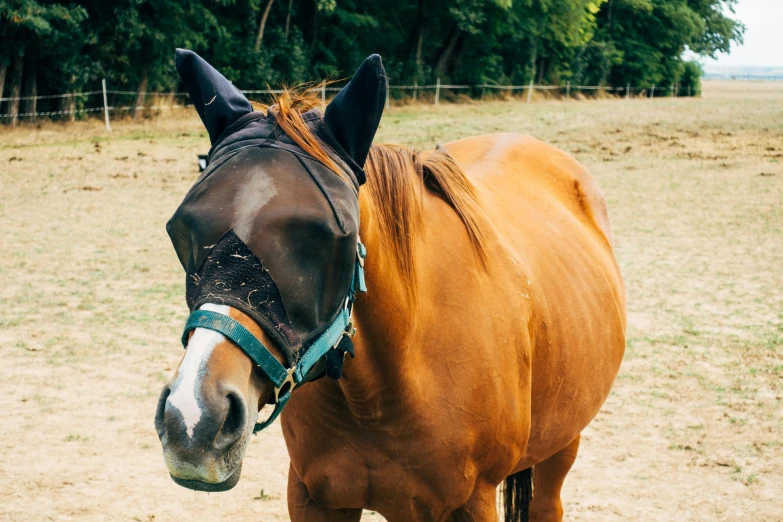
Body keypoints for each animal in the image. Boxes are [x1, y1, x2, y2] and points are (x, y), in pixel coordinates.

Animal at [156, 49, 628, 520]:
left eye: (330, 236)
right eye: (182, 228)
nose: (193, 421)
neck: (387, 388)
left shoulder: (472, 502)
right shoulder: (312, 497)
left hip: (564, 441)